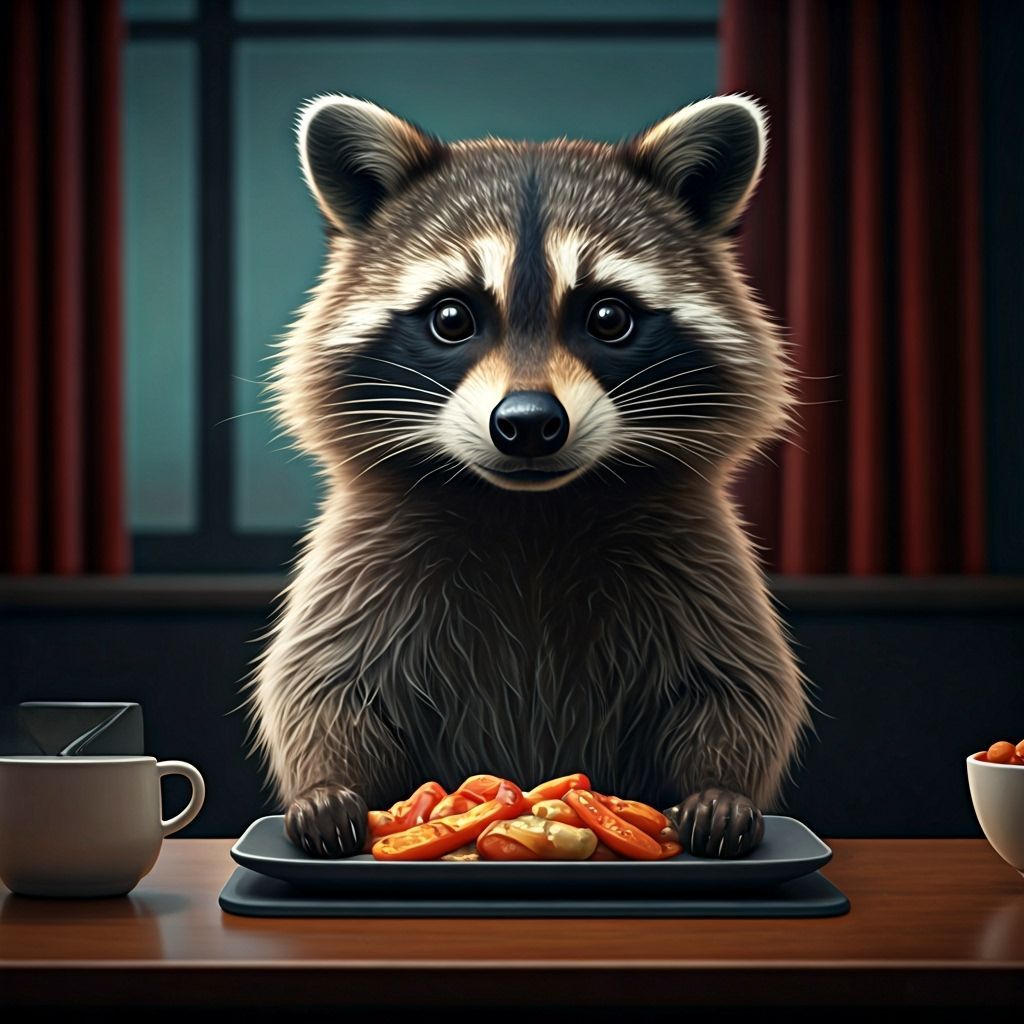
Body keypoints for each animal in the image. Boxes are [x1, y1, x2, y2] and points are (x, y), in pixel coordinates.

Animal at [246, 92, 811, 859]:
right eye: (452, 317)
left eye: (609, 316)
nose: (529, 424)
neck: (530, 508)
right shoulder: (362, 561)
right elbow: (322, 681)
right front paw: (328, 786)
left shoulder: (698, 558)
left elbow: (737, 682)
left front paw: (719, 788)